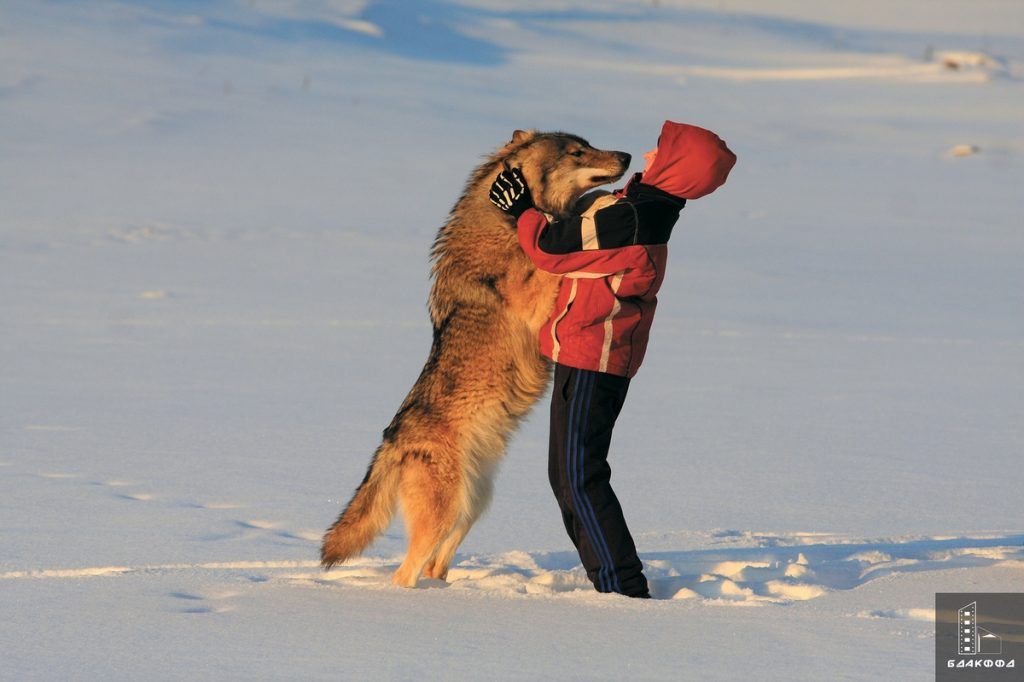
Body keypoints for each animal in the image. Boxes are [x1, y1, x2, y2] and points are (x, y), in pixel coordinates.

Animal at [319, 129, 626, 585]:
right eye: (577, 152)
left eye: (588, 146)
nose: (626, 156)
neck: (503, 223)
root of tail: (391, 442)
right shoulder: (533, 298)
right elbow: (554, 244)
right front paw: (603, 203)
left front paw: (600, 201)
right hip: (446, 511)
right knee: (407, 571)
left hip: (473, 504)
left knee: (435, 563)